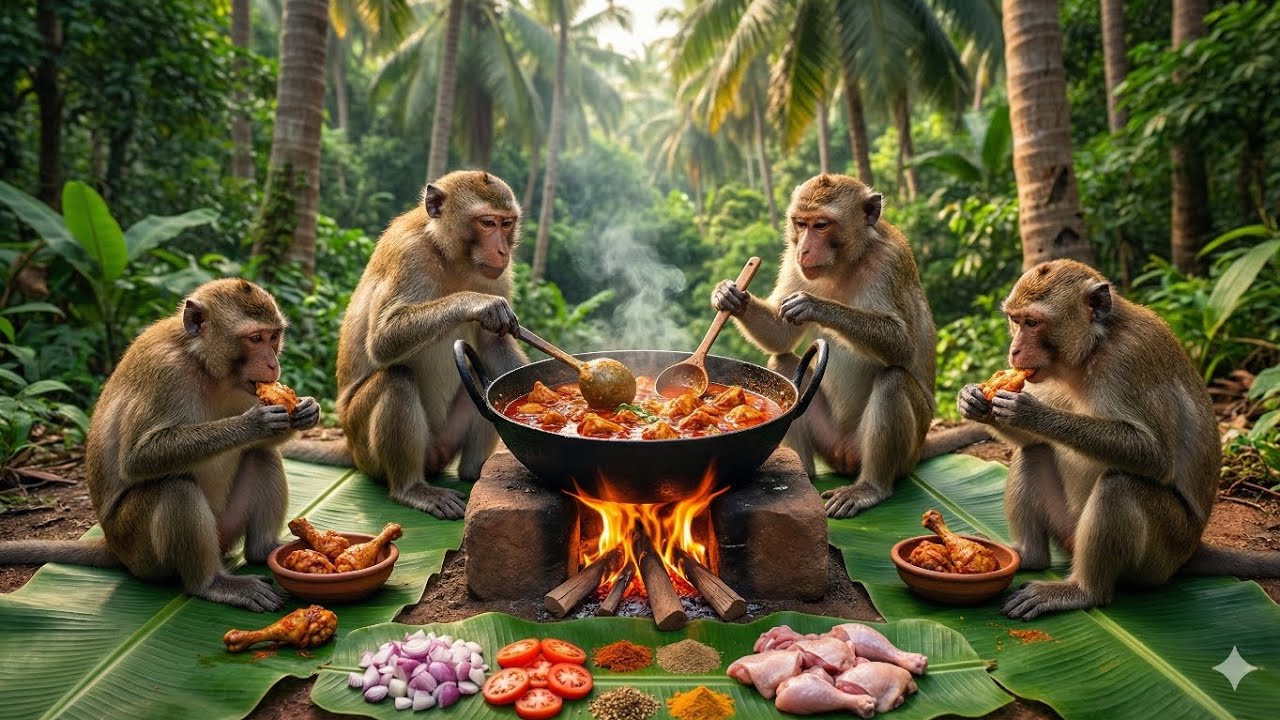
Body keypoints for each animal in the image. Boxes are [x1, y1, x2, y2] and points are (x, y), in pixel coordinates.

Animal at [0, 279, 321, 611]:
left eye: (274, 337)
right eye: (255, 338)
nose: (272, 364)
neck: (201, 362)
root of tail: (113, 547)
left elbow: (264, 441)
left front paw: (307, 410)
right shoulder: (166, 371)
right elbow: (138, 458)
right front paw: (254, 424)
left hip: (224, 529)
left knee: (261, 455)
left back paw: (263, 550)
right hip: (139, 550)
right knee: (175, 489)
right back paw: (212, 584)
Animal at [284, 170, 528, 520]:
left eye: (506, 223)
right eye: (487, 223)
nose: (502, 252)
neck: (448, 255)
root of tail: (349, 446)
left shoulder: (501, 276)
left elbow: (493, 345)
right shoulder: (408, 254)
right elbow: (383, 340)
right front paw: (477, 303)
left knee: (484, 382)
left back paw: (477, 473)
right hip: (365, 446)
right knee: (396, 379)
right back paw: (411, 489)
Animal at [712, 173, 980, 519]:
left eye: (822, 225)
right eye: (800, 224)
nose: (805, 249)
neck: (846, 263)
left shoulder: (890, 262)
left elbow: (902, 346)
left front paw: (813, 305)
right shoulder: (791, 261)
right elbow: (781, 335)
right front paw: (730, 296)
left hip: (902, 451)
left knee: (893, 381)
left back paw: (870, 488)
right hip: (828, 439)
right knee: (782, 362)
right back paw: (801, 474)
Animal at [958, 259, 1280, 619]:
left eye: (1033, 322)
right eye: (1015, 321)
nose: (1014, 351)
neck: (1094, 348)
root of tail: (1192, 548)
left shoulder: (1131, 358)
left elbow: (1156, 456)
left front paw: (1029, 412)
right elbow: (1031, 440)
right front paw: (972, 400)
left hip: (1162, 553)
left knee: (1120, 485)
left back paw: (1082, 591)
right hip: (1069, 530)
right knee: (1033, 451)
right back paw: (1029, 557)